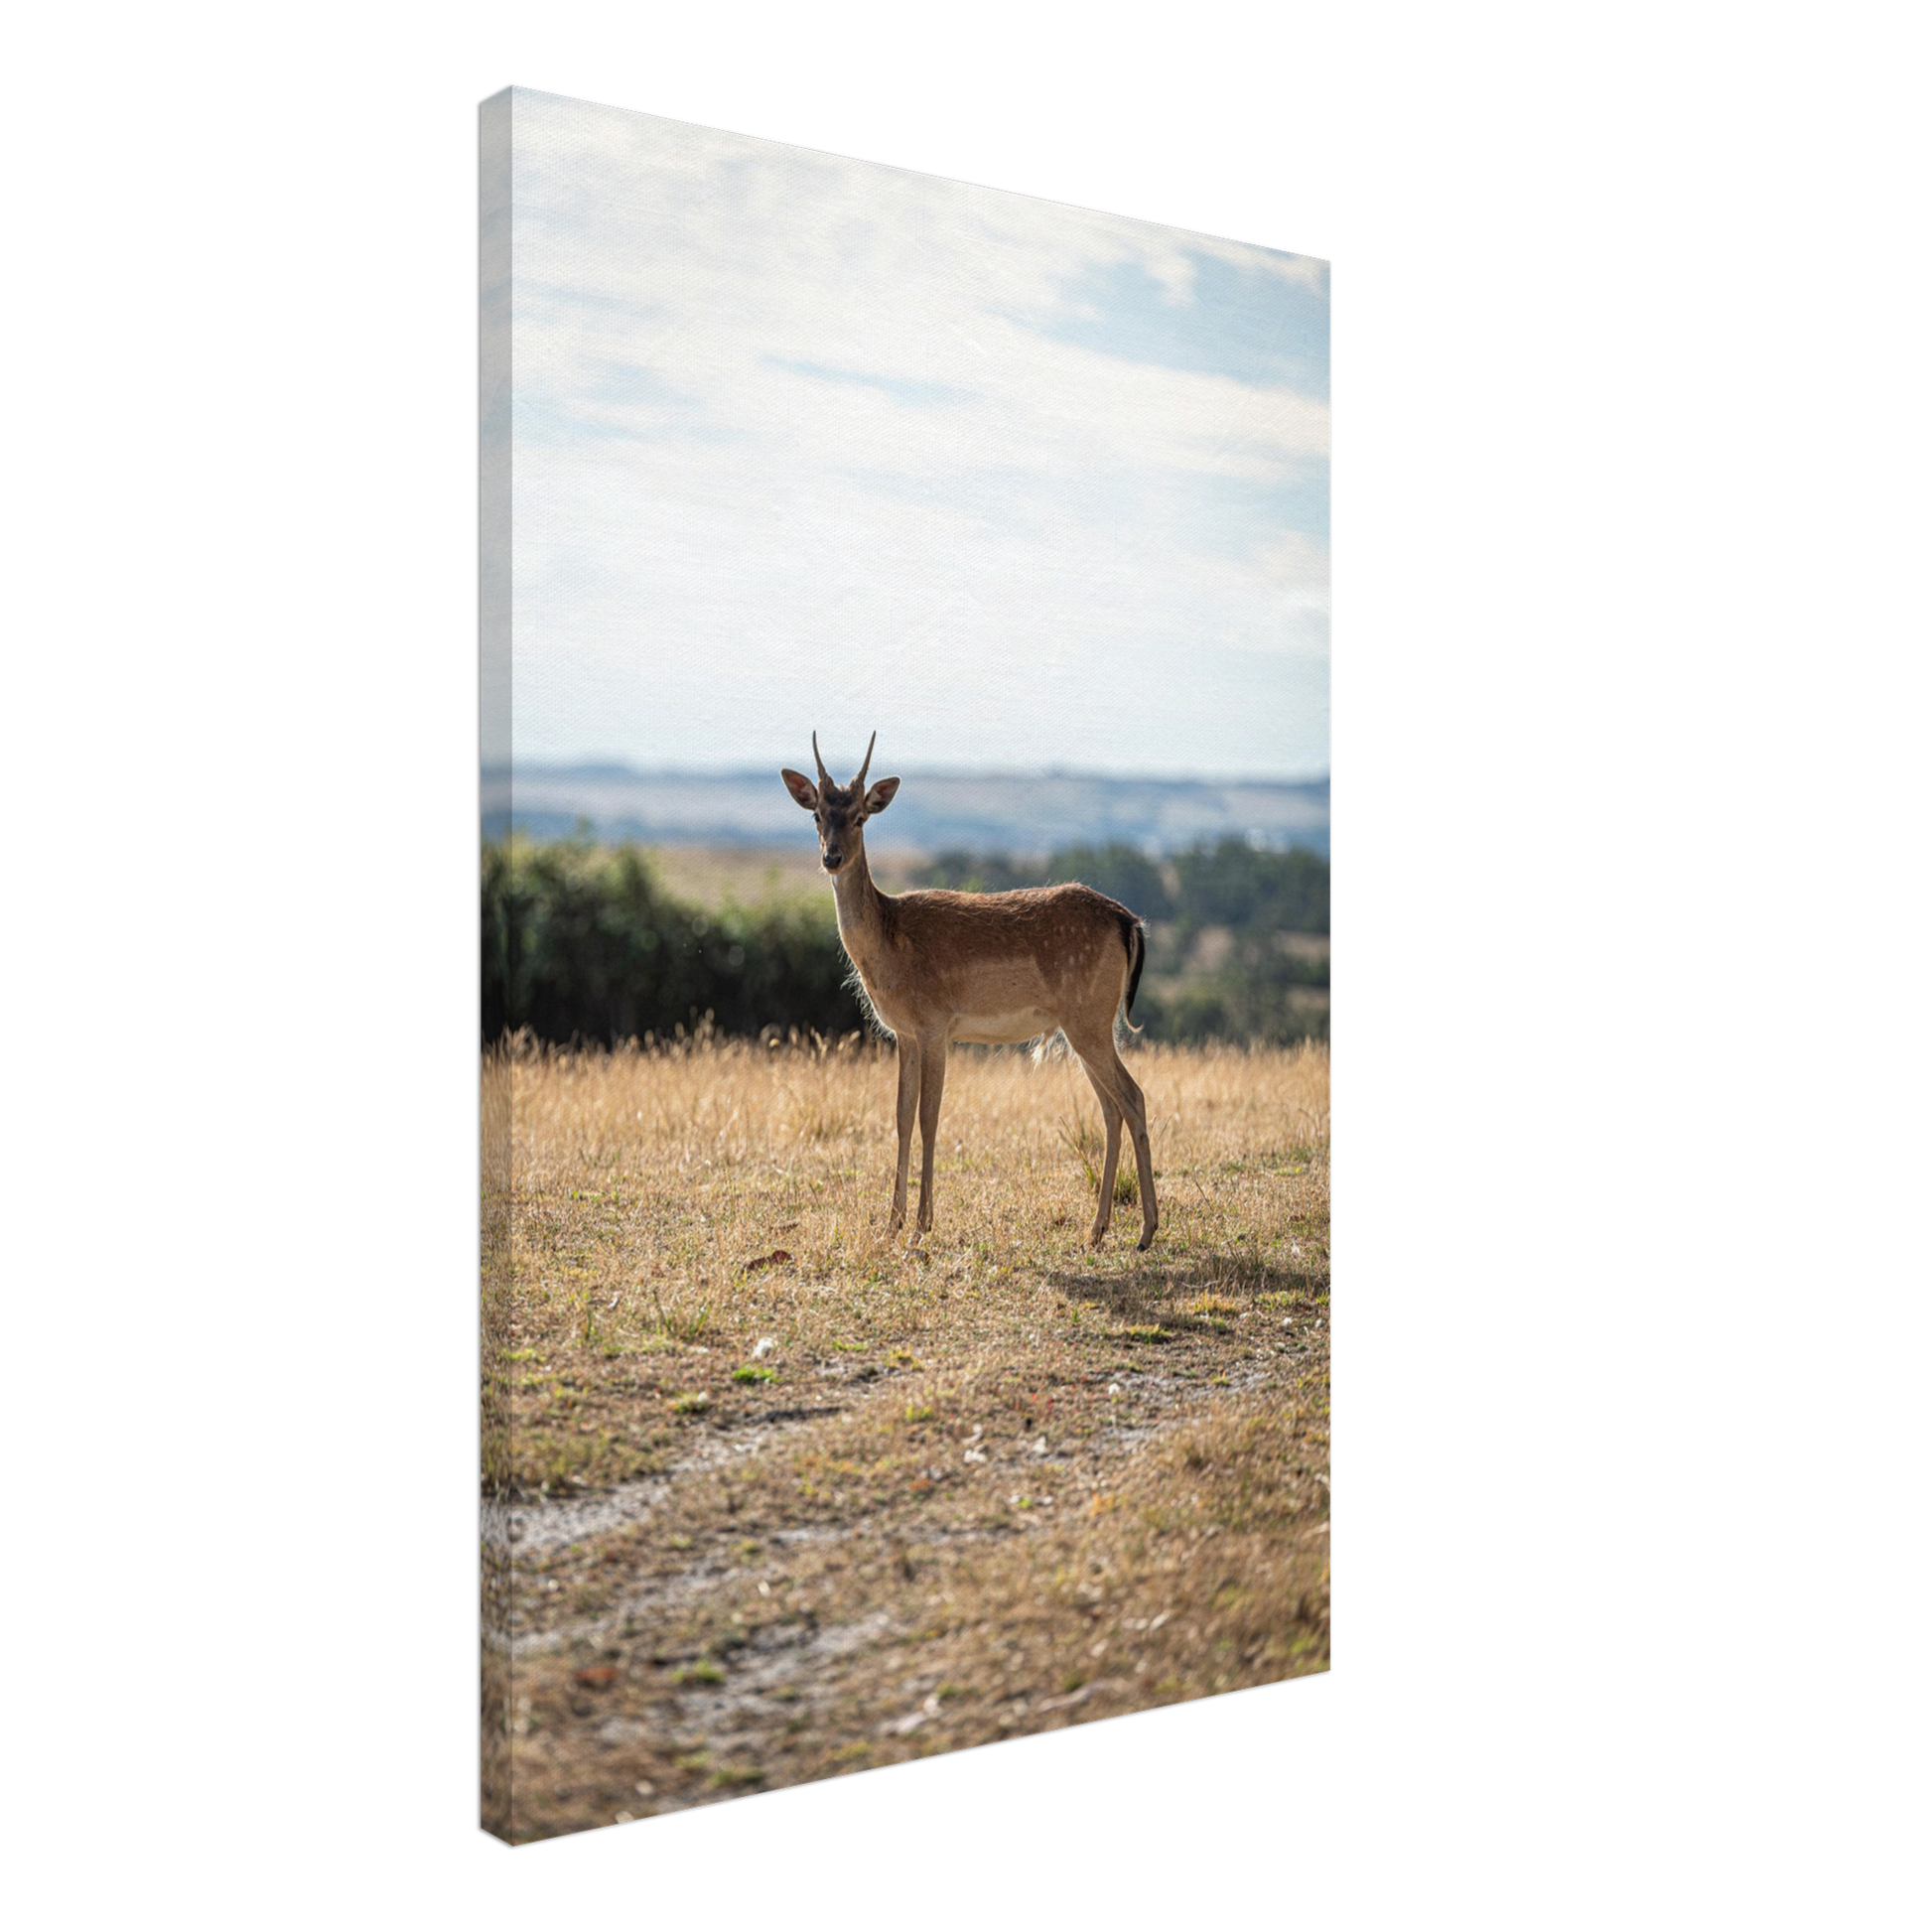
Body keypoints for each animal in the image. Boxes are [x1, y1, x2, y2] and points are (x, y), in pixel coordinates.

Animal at [781, 733, 1158, 1253]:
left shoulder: (935, 1024)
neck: (889, 948)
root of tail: (1130, 923)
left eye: (860, 816)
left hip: (1090, 1019)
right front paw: (890, 1224)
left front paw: (922, 1224)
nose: (831, 857)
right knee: (1111, 1107)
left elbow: (929, 1117)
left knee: (1132, 1096)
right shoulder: (904, 1033)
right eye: (817, 814)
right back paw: (1096, 1230)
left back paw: (1146, 1230)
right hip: (1087, 1025)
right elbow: (900, 1117)